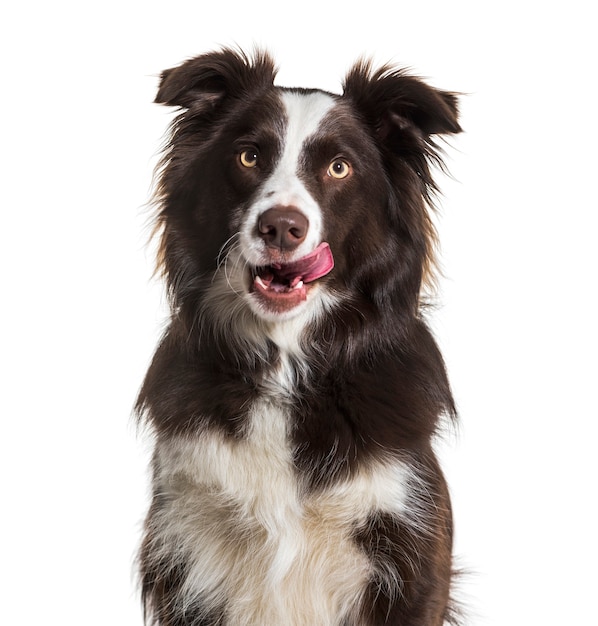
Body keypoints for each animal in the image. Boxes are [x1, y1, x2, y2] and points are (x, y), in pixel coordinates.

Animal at [139, 46, 464, 620]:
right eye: (249, 157)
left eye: (339, 167)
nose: (281, 227)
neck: (285, 367)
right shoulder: (185, 545)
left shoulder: (409, 542)